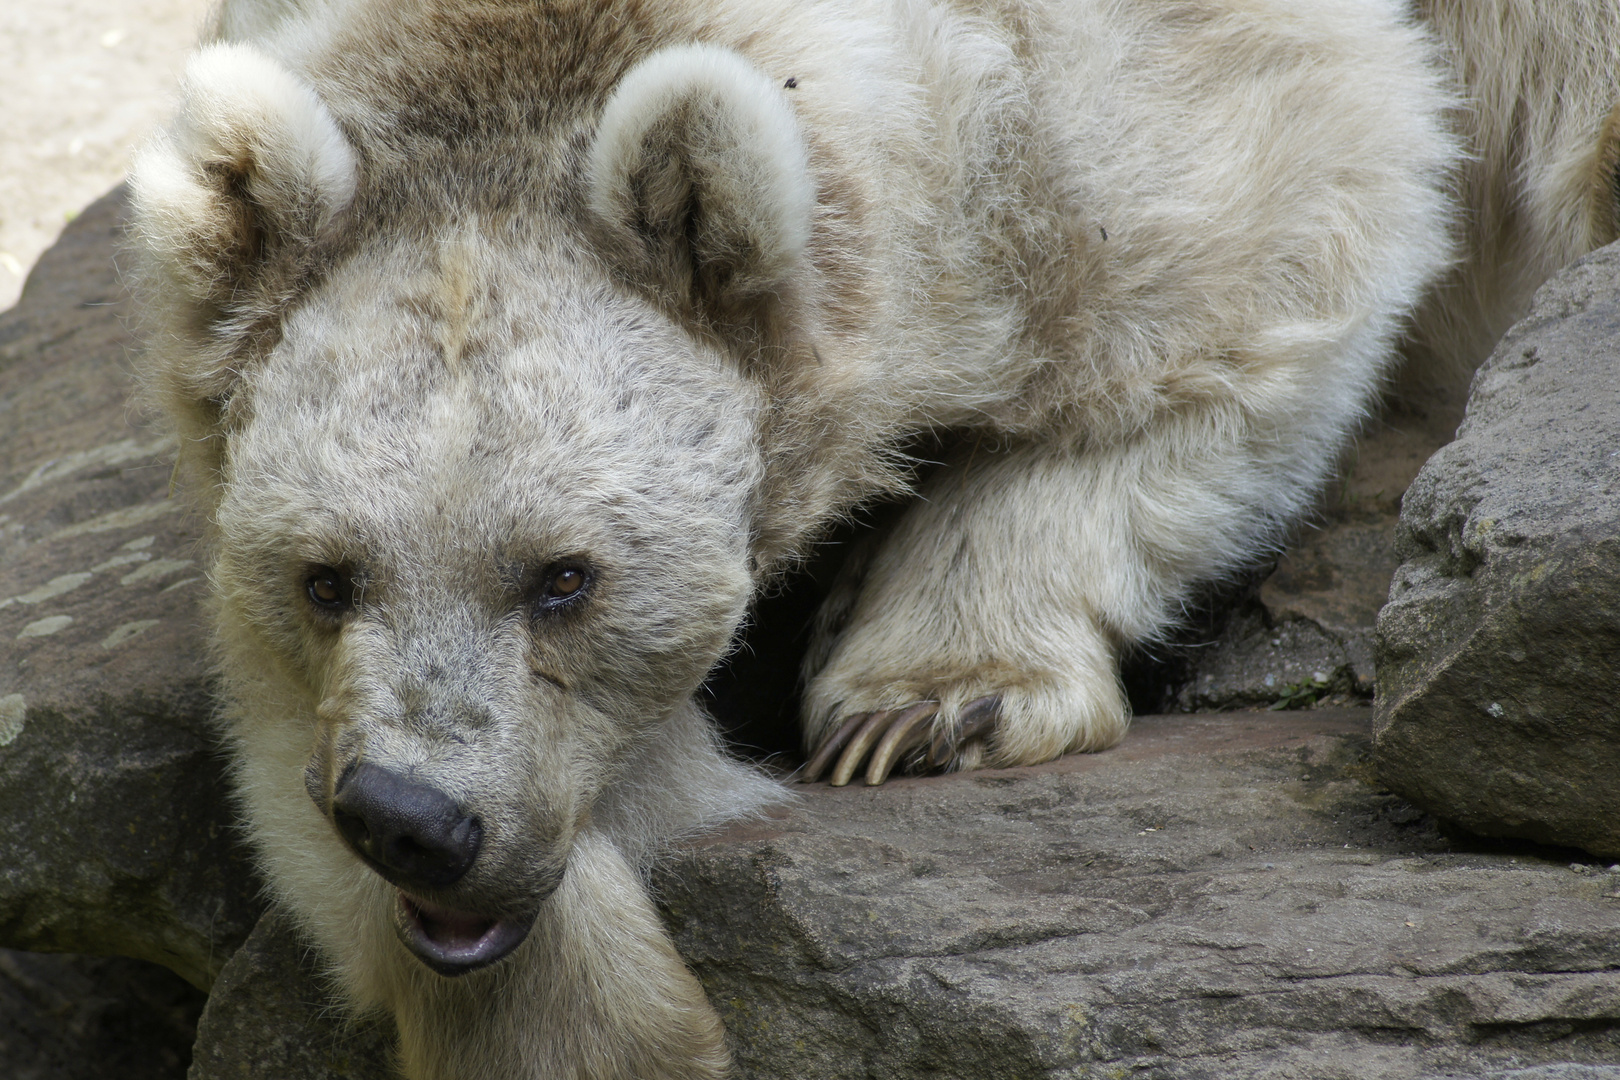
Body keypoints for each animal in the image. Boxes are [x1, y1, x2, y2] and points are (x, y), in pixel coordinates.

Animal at [129, 2, 1620, 1080]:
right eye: (327, 577)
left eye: (565, 577)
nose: (419, 821)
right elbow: (277, 743)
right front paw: (589, 1025)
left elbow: (1269, 246)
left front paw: (925, 701)